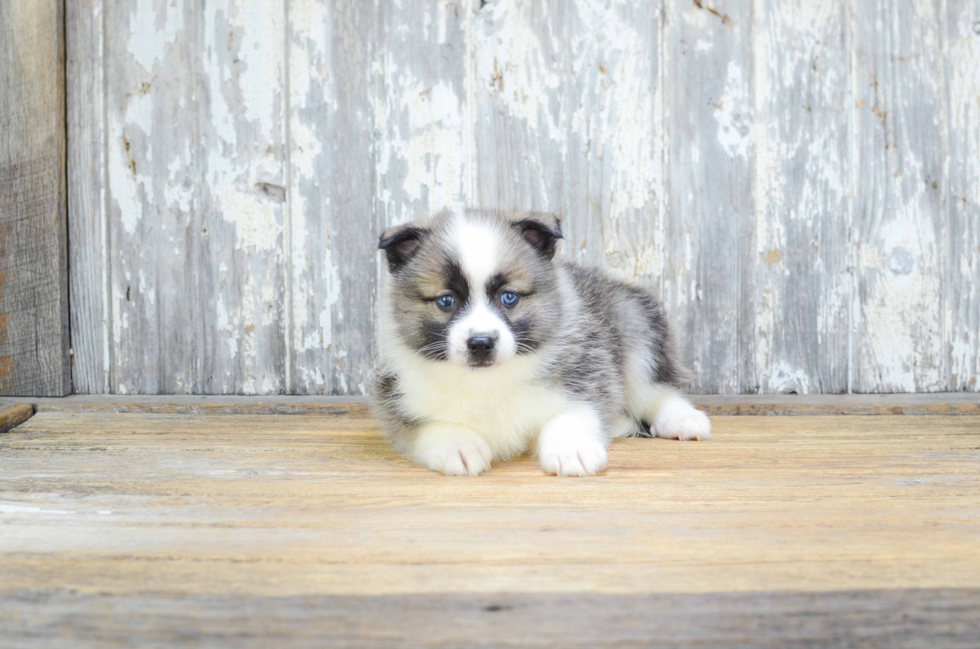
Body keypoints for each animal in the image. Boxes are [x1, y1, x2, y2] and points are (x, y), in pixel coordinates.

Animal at [372, 208, 708, 476]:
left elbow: (572, 414)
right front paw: (458, 445)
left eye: (509, 297)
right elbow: (424, 426)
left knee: (654, 388)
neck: (488, 379)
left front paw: (571, 448)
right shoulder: (398, 401)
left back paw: (682, 419)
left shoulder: (589, 375)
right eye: (446, 301)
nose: (481, 343)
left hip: (635, 327)